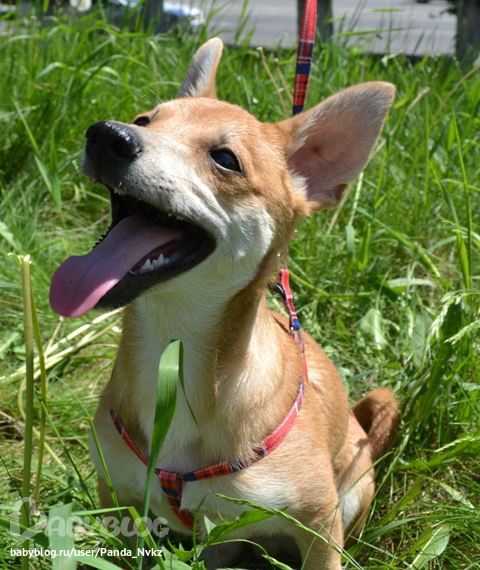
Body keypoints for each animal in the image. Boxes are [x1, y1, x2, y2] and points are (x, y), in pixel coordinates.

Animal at [50, 38, 399, 569]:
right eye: (144, 119)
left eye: (226, 160)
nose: (108, 135)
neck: (174, 356)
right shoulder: (118, 502)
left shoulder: (318, 522)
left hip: (349, 492)